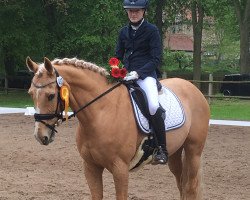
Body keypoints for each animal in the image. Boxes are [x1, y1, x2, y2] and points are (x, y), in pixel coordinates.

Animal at [25, 57, 209, 199]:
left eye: (51, 96)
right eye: (31, 94)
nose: (40, 136)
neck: (101, 113)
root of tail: (192, 87)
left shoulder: (120, 168)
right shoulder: (91, 167)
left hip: (193, 151)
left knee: (191, 187)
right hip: (175, 153)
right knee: (181, 184)